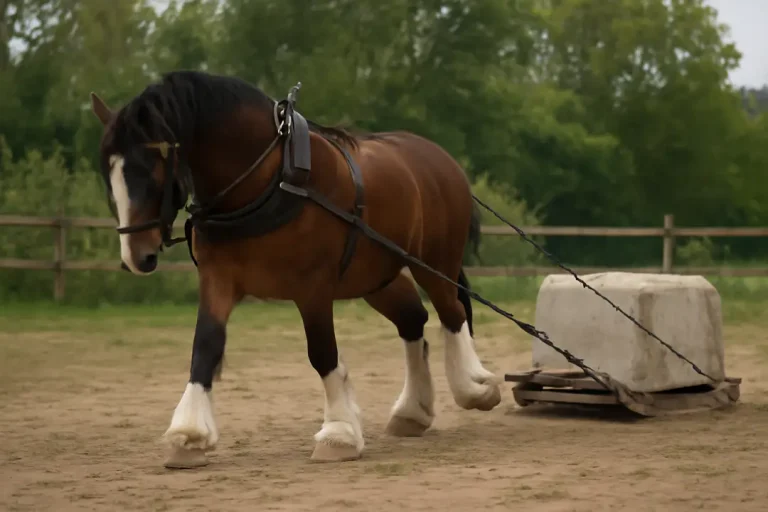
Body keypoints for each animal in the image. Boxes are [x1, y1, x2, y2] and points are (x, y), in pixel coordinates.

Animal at [89, 70, 502, 469]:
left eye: (149, 170)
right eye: (108, 174)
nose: (135, 257)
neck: (268, 181)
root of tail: (440, 158)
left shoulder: (313, 287)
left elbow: (321, 352)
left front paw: (338, 434)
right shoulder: (218, 278)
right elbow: (205, 344)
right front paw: (188, 435)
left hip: (434, 264)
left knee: (452, 313)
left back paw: (474, 387)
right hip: (376, 278)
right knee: (413, 319)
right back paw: (412, 412)